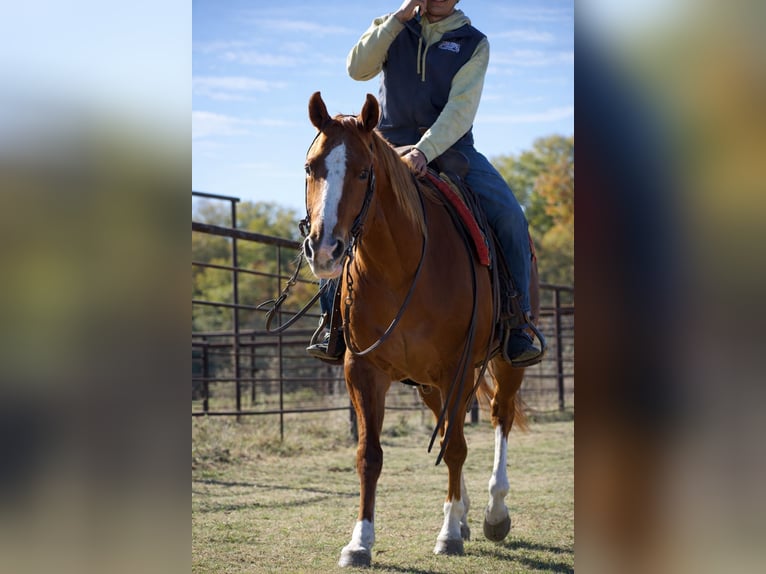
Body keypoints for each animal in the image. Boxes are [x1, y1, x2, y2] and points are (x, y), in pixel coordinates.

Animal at [301, 91, 540, 568]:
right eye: (310, 167)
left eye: (363, 171)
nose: (325, 249)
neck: (402, 266)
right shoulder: (364, 371)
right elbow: (370, 455)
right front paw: (360, 541)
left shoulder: (458, 368)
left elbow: (457, 447)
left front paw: (448, 535)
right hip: (427, 382)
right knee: (447, 427)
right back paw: (465, 515)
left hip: (506, 364)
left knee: (498, 417)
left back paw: (494, 513)